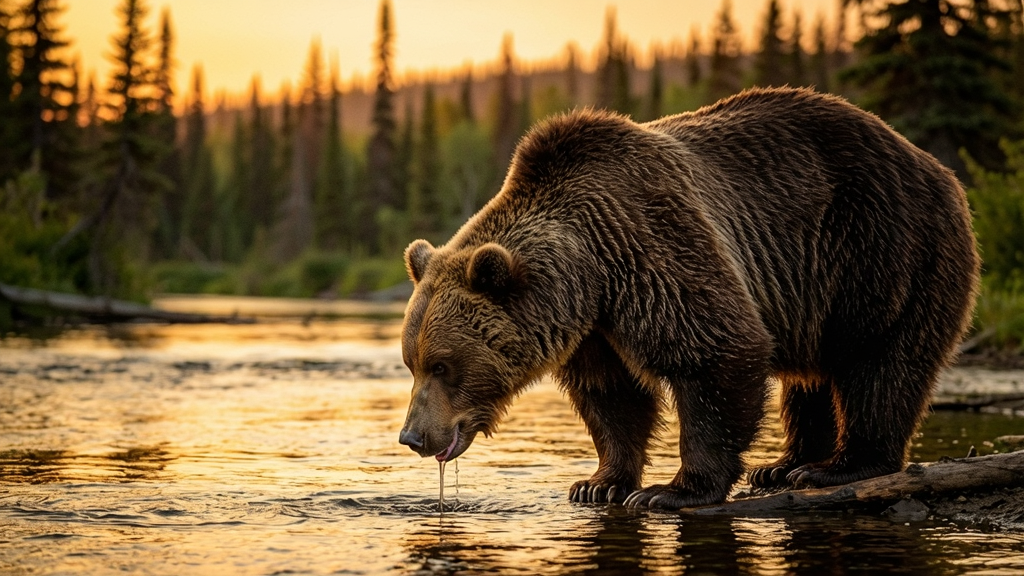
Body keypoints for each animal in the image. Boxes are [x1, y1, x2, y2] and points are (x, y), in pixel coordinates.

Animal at [397, 87, 979, 510]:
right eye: (412, 363)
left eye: (443, 365)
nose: (412, 437)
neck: (591, 271)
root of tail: (938, 168)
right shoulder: (593, 327)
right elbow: (612, 396)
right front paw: (598, 483)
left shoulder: (653, 244)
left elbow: (716, 353)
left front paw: (671, 490)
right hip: (821, 291)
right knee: (810, 378)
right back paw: (783, 465)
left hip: (885, 250)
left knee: (881, 363)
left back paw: (838, 465)